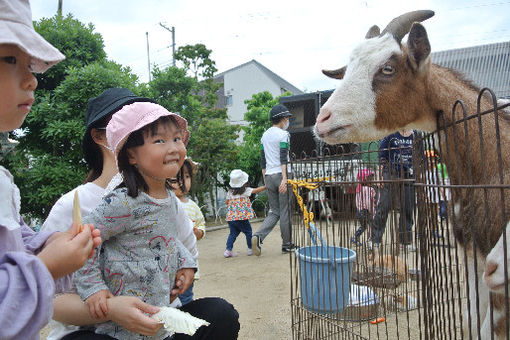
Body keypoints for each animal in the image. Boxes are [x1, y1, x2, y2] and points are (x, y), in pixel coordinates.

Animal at [312, 10, 508, 340]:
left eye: (388, 68)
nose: (323, 120)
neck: (494, 165)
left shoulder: (499, 273)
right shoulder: (474, 257)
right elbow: (470, 321)